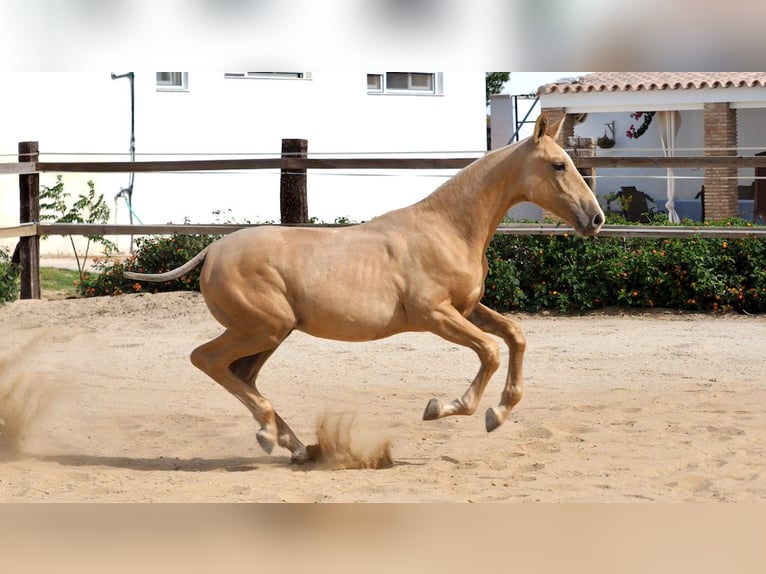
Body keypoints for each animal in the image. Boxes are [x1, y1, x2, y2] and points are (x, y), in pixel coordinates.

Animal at [126, 116, 608, 464]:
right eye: (559, 165)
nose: (597, 218)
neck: (448, 228)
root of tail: (212, 250)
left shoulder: (467, 307)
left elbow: (515, 336)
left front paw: (499, 412)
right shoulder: (434, 314)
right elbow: (489, 351)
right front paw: (446, 408)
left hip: (272, 333)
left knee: (242, 374)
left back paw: (295, 445)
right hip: (262, 329)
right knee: (207, 360)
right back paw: (268, 434)